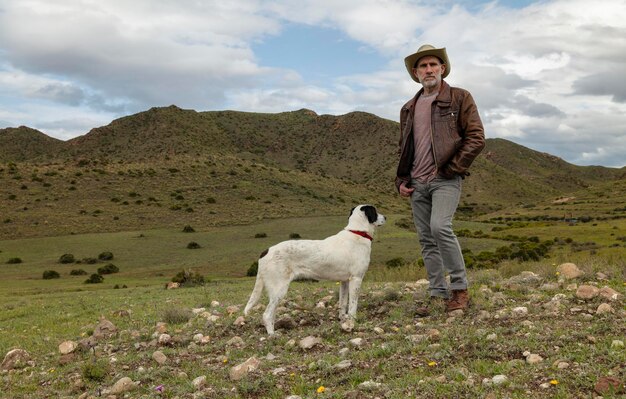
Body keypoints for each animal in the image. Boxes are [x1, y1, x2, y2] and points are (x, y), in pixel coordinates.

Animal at [245, 206, 386, 334]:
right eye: (375, 211)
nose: (385, 217)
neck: (358, 232)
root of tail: (266, 251)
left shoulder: (344, 281)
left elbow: (343, 304)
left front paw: (343, 321)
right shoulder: (356, 279)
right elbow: (353, 305)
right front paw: (353, 322)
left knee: (271, 313)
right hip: (279, 288)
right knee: (267, 314)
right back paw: (272, 335)